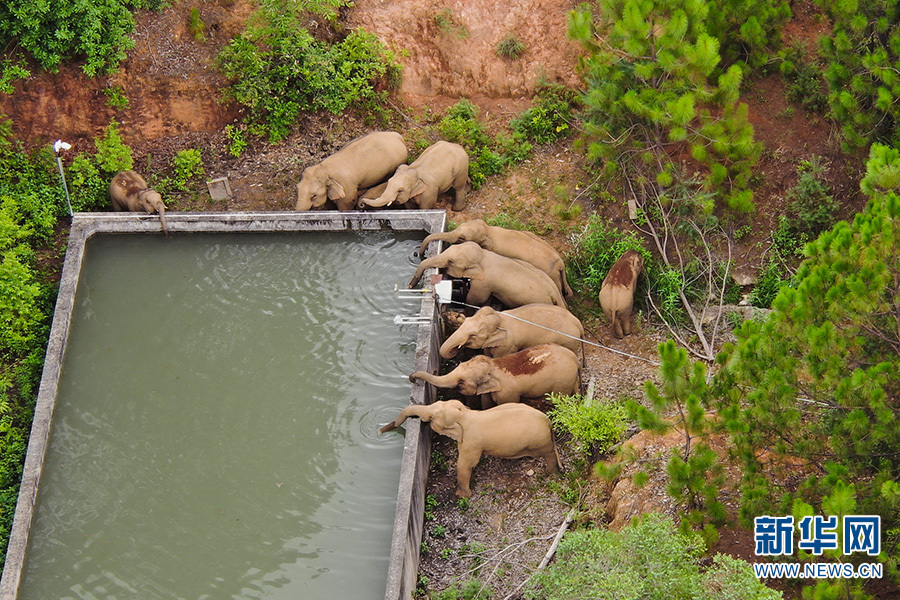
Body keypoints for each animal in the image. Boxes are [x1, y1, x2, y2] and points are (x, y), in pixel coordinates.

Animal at [378, 400, 560, 500]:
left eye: (432, 418)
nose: (381, 430)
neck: (466, 414)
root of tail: (549, 422)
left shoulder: (471, 442)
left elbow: (465, 465)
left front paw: (461, 495)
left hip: (540, 441)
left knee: (548, 454)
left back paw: (549, 472)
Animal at [410, 344, 580, 410]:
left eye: (461, 381)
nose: (412, 378)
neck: (493, 365)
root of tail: (575, 359)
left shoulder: (507, 393)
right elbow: (486, 401)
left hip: (562, 382)